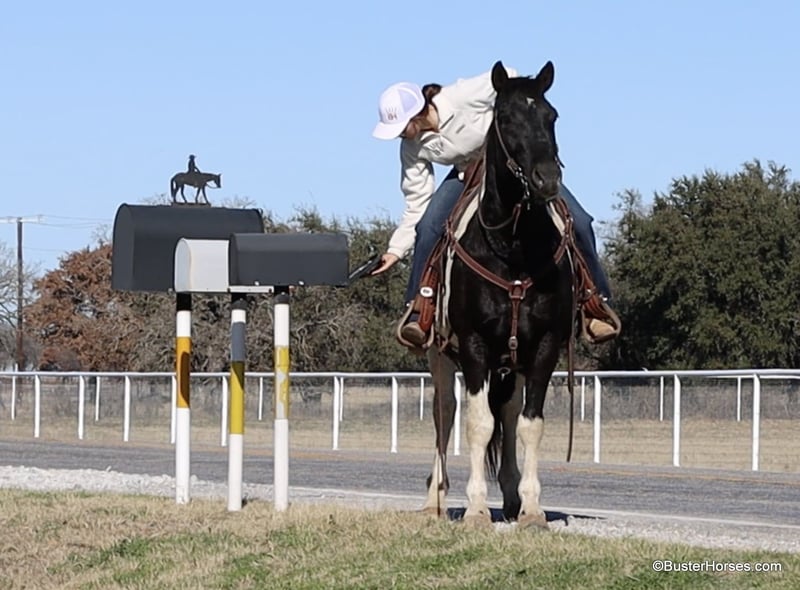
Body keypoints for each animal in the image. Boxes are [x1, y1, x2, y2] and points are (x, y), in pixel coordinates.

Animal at [422, 60, 575, 528]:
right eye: (505, 119)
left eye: (552, 116)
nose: (547, 179)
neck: (512, 248)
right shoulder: (474, 346)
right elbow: (477, 424)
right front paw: (474, 509)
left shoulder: (543, 347)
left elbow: (528, 424)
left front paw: (532, 508)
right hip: (439, 355)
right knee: (444, 416)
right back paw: (435, 499)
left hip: (514, 362)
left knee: (508, 413)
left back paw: (509, 495)